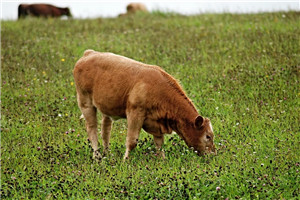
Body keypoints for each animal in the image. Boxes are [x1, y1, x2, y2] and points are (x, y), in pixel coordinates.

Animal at [74, 49, 217, 160]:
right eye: (208, 136)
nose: (213, 154)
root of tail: (89, 53)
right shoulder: (135, 113)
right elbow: (132, 141)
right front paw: (125, 161)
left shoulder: (156, 122)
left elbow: (159, 142)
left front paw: (162, 159)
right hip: (85, 102)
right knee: (92, 129)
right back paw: (97, 156)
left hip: (106, 107)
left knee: (105, 130)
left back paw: (107, 153)